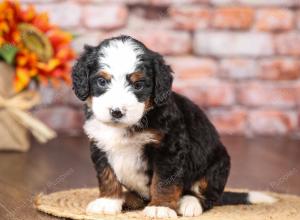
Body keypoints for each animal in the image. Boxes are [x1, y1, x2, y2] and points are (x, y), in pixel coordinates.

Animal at [71, 35, 276, 217]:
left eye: (138, 85)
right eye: (101, 81)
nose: (116, 112)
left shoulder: (169, 147)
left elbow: (164, 181)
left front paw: (160, 207)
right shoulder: (99, 144)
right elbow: (107, 175)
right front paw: (108, 201)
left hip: (217, 166)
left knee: (207, 196)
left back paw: (189, 203)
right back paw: (128, 198)